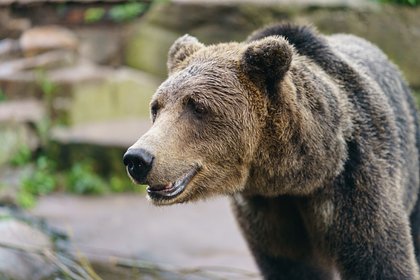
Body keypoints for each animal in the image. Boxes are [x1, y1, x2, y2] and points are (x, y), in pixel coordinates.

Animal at [122, 23, 420, 278]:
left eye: (197, 107)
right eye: (156, 107)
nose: (138, 158)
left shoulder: (354, 181)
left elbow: (379, 258)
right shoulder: (267, 211)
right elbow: (291, 267)